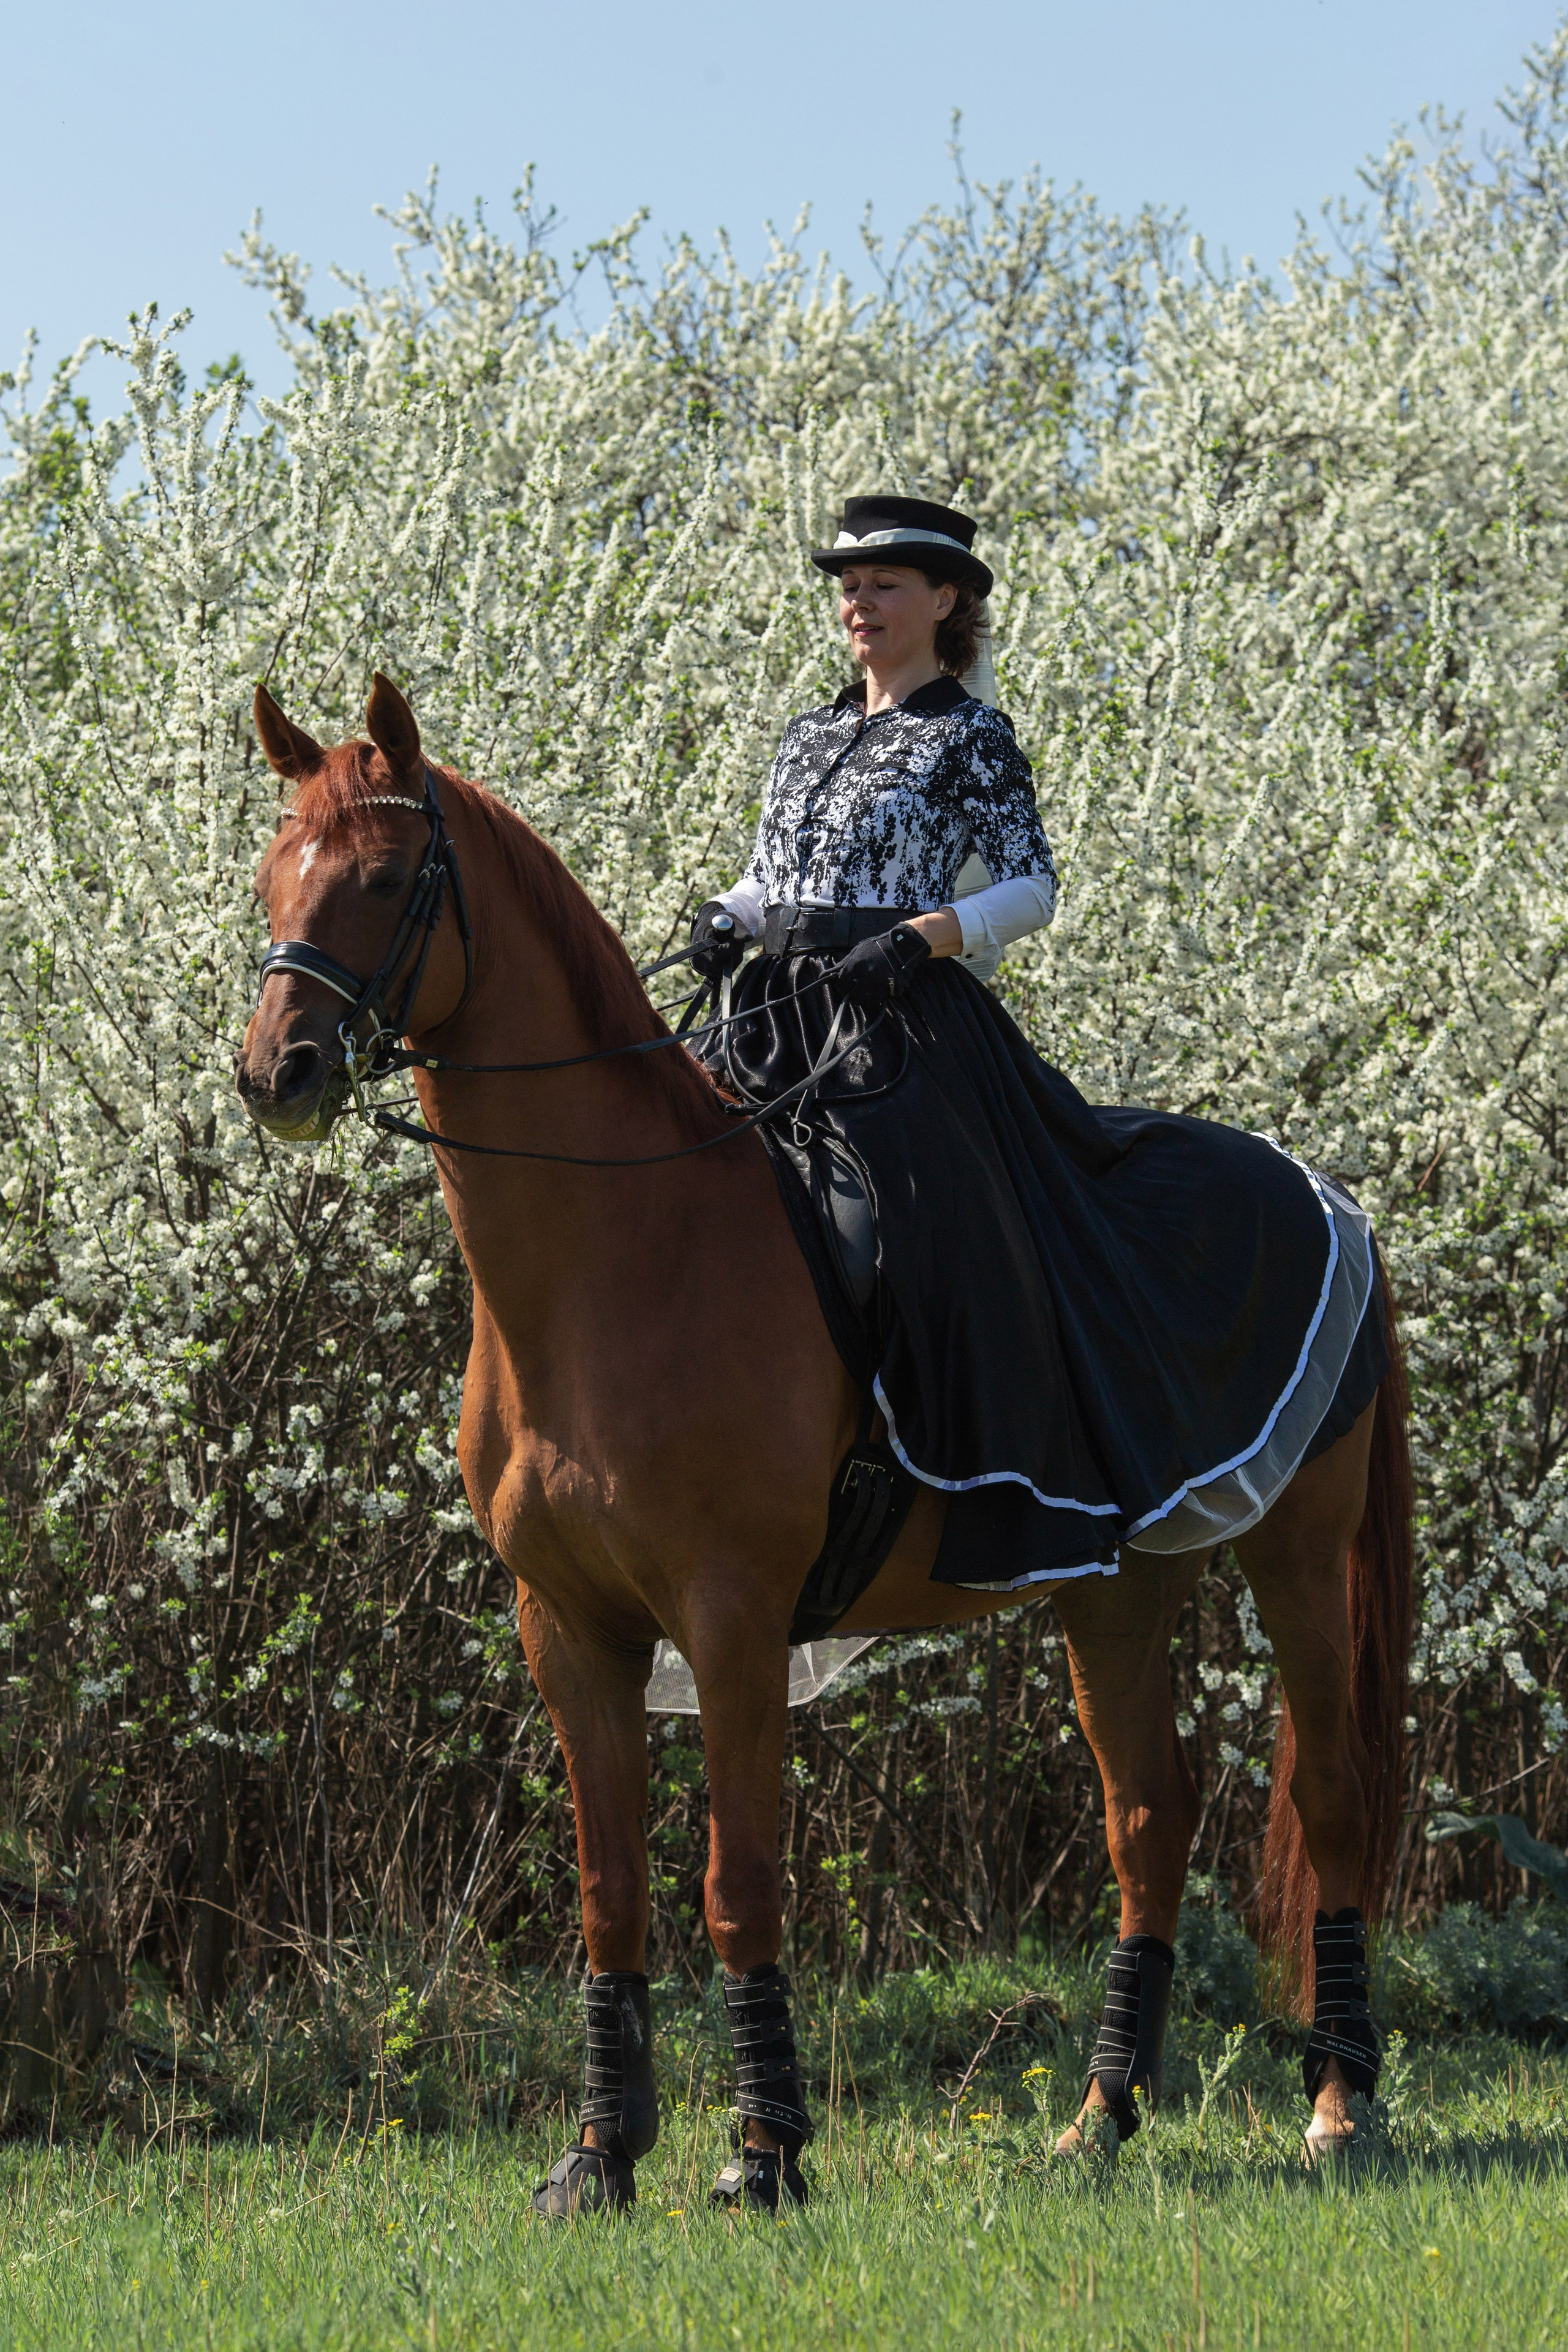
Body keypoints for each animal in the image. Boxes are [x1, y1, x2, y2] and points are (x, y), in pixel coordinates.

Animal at [235, 674, 1414, 2207]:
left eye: (383, 878)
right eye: (273, 870)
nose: (277, 1073)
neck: (621, 1256)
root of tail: (1324, 1191)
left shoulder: (732, 1619)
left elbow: (740, 1883)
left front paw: (766, 2155)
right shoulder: (568, 1625)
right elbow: (610, 1893)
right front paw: (599, 2156)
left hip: (1297, 1557)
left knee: (1329, 1802)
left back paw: (1338, 2107)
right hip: (1116, 1588)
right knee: (1145, 1819)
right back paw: (1096, 2122)